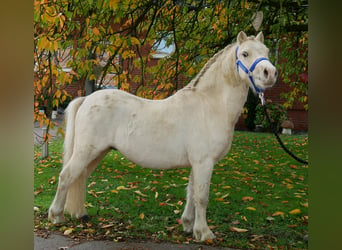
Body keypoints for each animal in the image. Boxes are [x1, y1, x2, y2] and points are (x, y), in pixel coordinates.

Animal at [48, 30, 278, 240]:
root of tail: (86, 99)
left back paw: (80, 214)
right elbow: (202, 196)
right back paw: (56, 216)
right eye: (245, 53)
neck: (210, 105)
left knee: (80, 176)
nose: (270, 73)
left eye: (267, 51)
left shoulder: (197, 163)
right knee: (67, 176)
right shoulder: (204, 162)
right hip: (86, 151)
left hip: (98, 152)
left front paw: (188, 226)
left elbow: (191, 192)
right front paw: (204, 233)